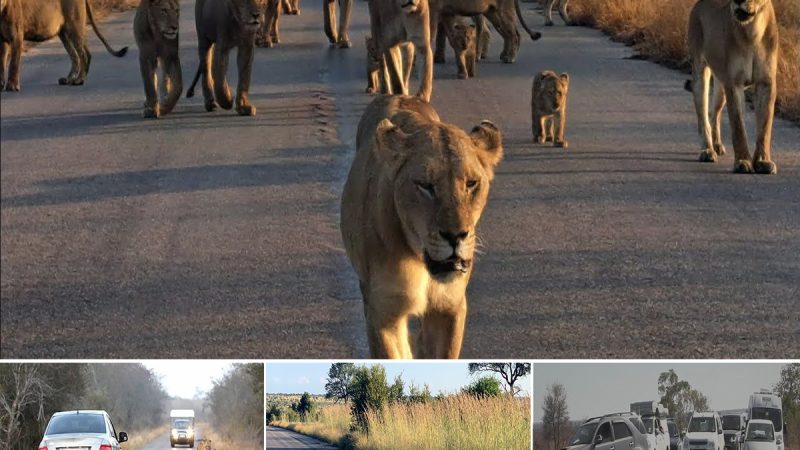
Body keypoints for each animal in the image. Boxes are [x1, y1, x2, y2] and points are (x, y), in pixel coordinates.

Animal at [340, 95, 504, 358]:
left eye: (471, 183)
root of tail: (400, 95)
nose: (455, 236)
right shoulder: (383, 313)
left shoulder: (450, 307)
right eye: (425, 185)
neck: (418, 259)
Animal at [688, 0, 780, 174]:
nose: (738, 1)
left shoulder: (766, 82)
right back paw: (707, 150)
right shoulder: (734, 83)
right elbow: (738, 125)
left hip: (721, 85)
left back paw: (717, 145)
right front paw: (743, 161)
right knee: (703, 116)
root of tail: (698, 3)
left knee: (714, 112)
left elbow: (765, 125)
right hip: (700, 71)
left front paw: (763, 161)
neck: (752, 31)